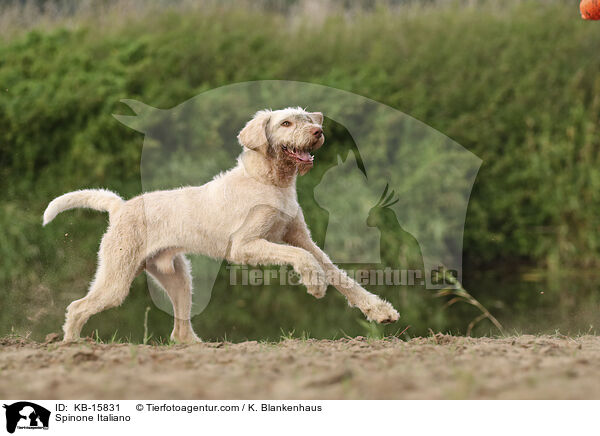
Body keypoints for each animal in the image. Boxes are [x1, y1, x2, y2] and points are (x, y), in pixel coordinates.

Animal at [43, 107, 398, 342]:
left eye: (308, 120)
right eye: (286, 122)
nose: (318, 133)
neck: (269, 181)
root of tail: (120, 207)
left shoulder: (299, 237)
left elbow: (339, 275)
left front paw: (379, 310)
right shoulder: (246, 246)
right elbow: (302, 259)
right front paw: (314, 284)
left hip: (178, 278)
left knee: (179, 330)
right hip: (116, 278)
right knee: (77, 307)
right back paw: (72, 346)